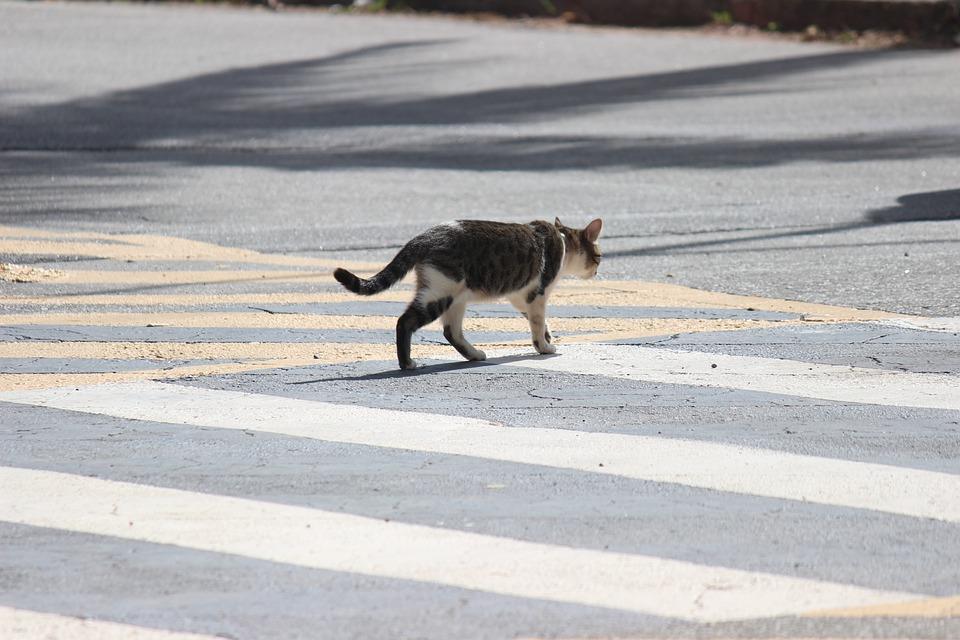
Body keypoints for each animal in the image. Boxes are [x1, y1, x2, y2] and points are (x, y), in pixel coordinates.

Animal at [332, 218, 600, 370]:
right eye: (598, 256)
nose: (597, 270)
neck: (561, 239)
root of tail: (422, 237)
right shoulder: (539, 293)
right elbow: (536, 322)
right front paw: (544, 346)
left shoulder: (520, 294)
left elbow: (536, 319)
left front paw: (548, 333)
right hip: (440, 292)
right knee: (405, 322)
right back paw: (407, 363)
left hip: (455, 298)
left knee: (451, 332)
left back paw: (474, 354)